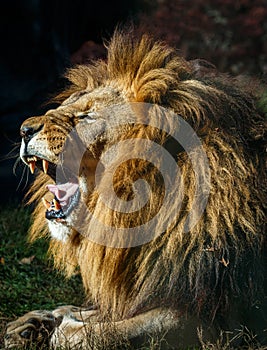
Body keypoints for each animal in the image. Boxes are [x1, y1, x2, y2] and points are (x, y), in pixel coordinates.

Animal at [4, 30, 267, 350]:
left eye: (86, 116)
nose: (23, 130)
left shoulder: (220, 317)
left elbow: (128, 327)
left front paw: (66, 330)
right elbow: (99, 310)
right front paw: (33, 323)